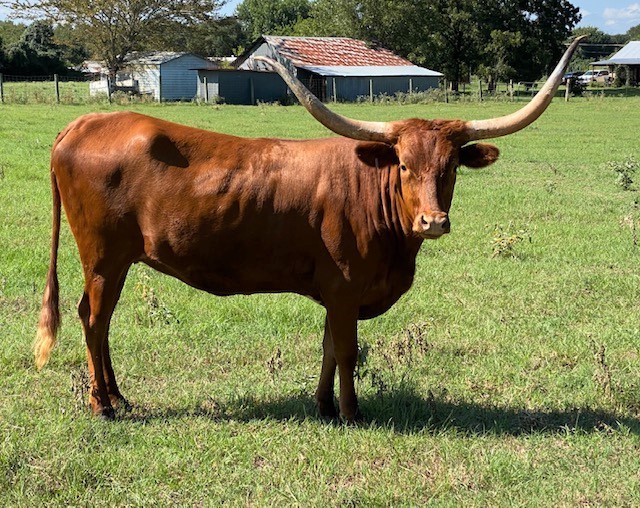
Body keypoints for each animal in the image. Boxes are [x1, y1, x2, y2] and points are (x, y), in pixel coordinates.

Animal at [34, 37, 584, 421]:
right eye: (404, 165)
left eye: (450, 168)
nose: (433, 221)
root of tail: (84, 122)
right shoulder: (345, 287)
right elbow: (347, 350)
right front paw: (352, 411)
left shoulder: (334, 290)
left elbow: (327, 347)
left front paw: (322, 406)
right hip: (103, 256)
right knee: (94, 319)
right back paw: (103, 406)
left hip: (116, 260)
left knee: (100, 321)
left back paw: (118, 397)